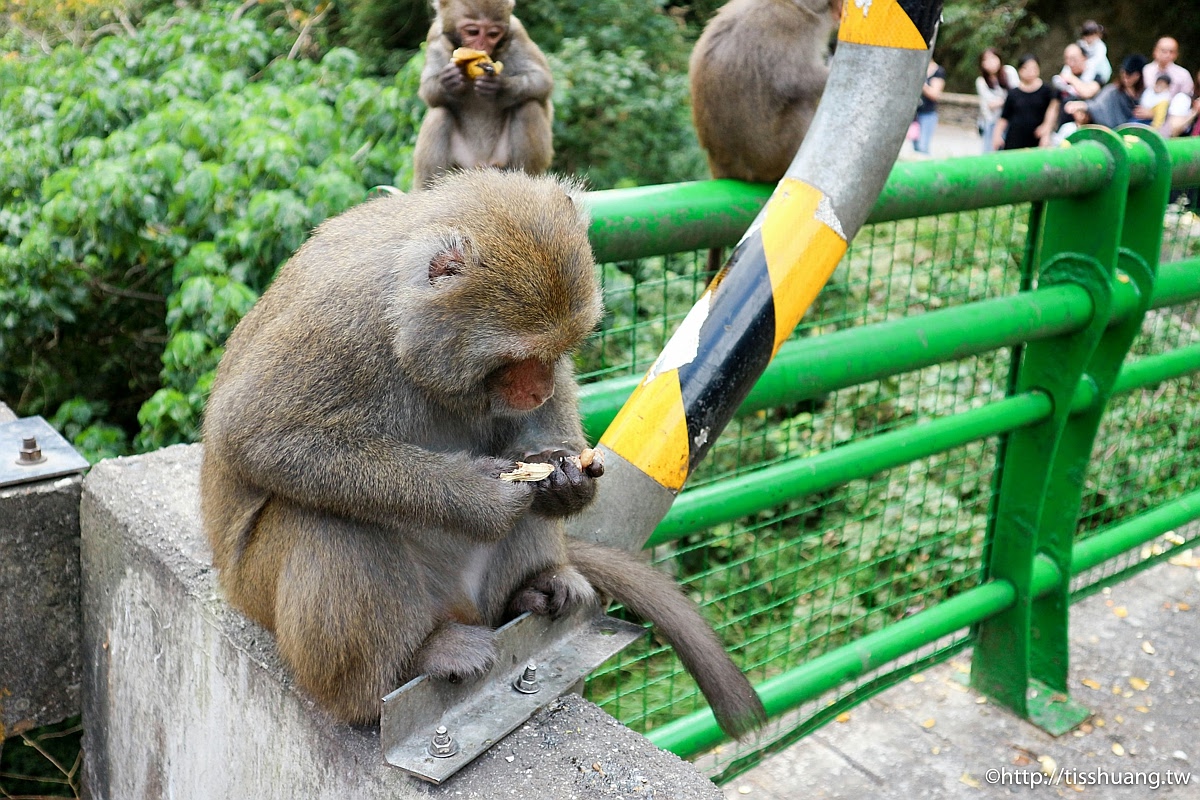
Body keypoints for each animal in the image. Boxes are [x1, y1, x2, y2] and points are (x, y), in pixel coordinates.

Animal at [195, 172, 758, 743]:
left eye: (558, 351)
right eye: (517, 358)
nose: (538, 387)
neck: (402, 322)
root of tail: (461, 607)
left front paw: (567, 480)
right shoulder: (339, 326)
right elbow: (257, 433)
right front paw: (482, 495)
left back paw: (533, 590)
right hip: (265, 593)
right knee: (327, 519)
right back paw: (406, 667)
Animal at [408, 0, 549, 189]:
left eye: (493, 34)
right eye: (473, 32)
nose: (481, 47)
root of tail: (482, 164)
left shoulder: (517, 32)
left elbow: (542, 81)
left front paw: (499, 87)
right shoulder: (435, 36)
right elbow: (429, 91)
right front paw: (450, 80)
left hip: (501, 162)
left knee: (528, 106)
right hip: (462, 165)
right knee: (439, 113)